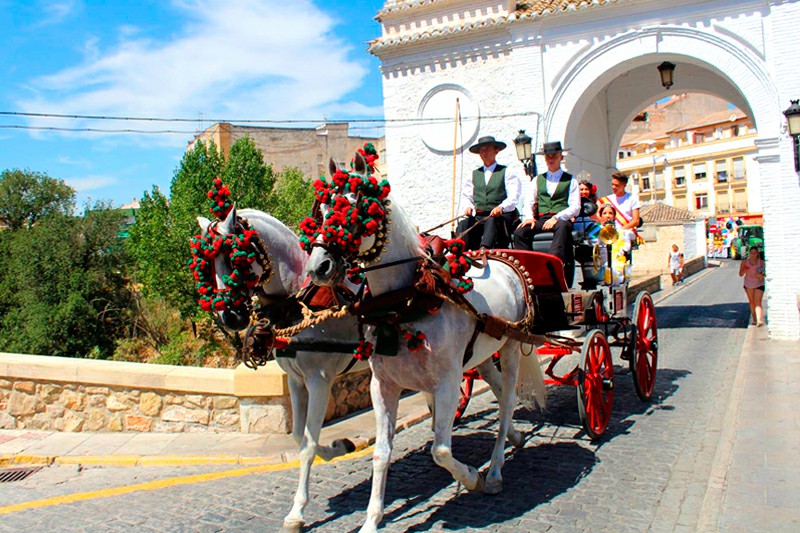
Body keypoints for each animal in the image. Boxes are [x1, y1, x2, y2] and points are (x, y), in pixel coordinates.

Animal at [198, 206, 366, 528]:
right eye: (206, 265)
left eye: (236, 258)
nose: (229, 317)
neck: (298, 300)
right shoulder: (296, 380)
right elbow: (300, 437)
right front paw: (340, 446)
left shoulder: (319, 380)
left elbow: (309, 444)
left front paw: (297, 511)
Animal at [304, 156, 548, 528]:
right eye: (323, 209)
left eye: (355, 209)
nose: (319, 266)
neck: (406, 300)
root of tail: (505, 260)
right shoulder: (383, 386)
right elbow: (382, 453)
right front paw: (372, 519)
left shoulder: (448, 382)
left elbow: (441, 449)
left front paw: (471, 478)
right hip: (482, 355)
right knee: (496, 391)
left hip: (509, 347)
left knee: (507, 404)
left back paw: (493, 472)